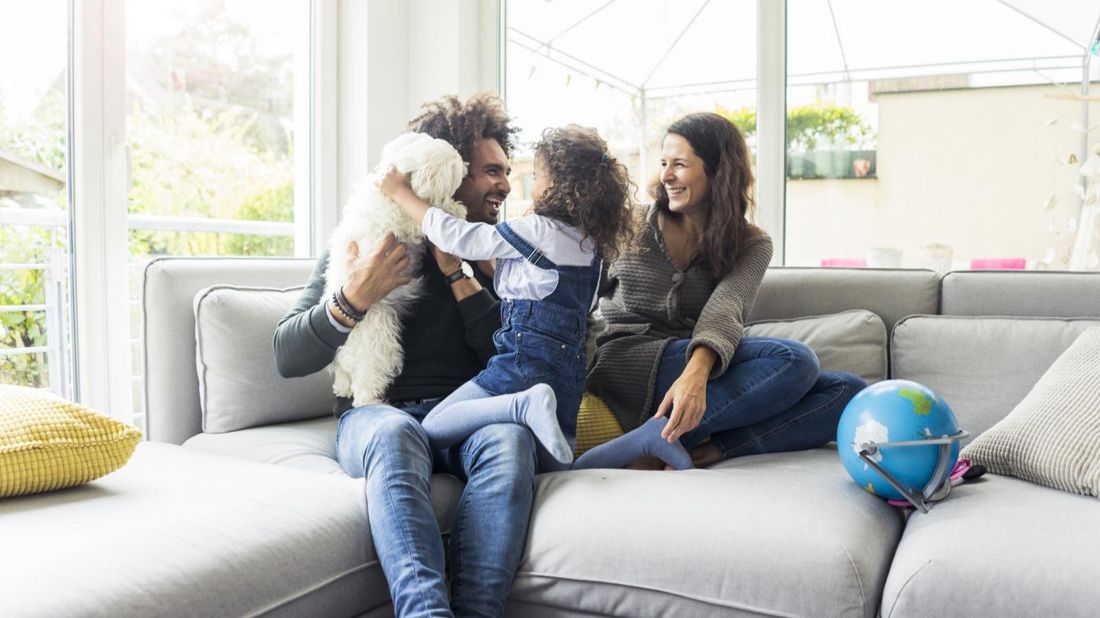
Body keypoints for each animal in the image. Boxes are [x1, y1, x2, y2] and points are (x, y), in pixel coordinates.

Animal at [323, 130, 466, 404]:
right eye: (453, 174)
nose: (466, 167)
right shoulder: (406, 221)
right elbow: (428, 214)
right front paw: (455, 208)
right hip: (380, 338)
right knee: (367, 382)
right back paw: (370, 400)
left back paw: (342, 386)